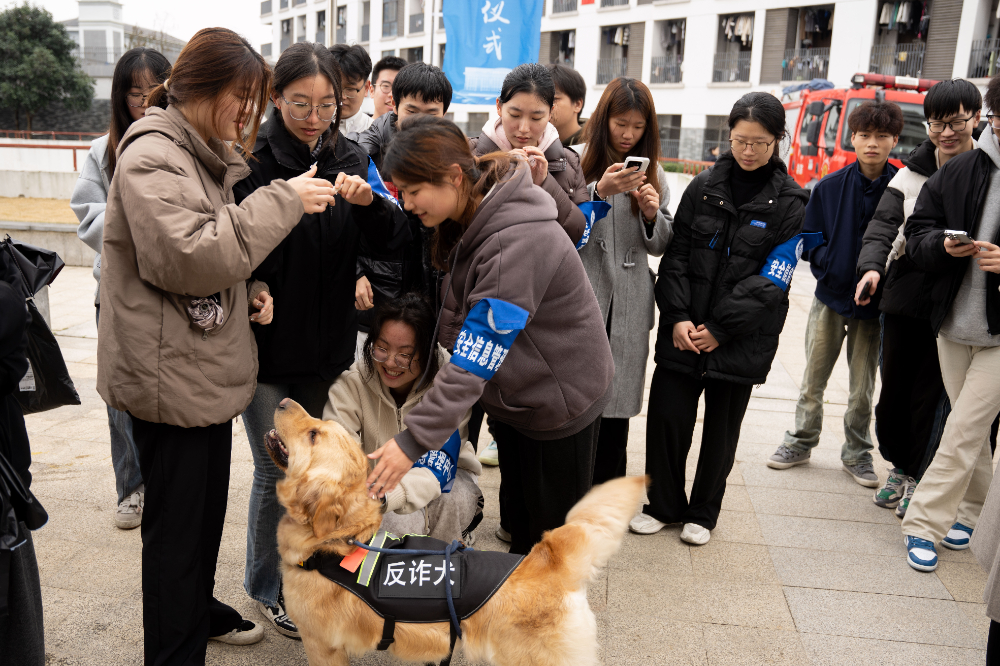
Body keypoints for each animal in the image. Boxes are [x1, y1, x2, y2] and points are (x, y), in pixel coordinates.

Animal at [270, 396, 644, 660]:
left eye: (313, 434)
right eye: (317, 425)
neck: (338, 541)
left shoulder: (322, 646)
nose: (284, 400)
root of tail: (547, 558)